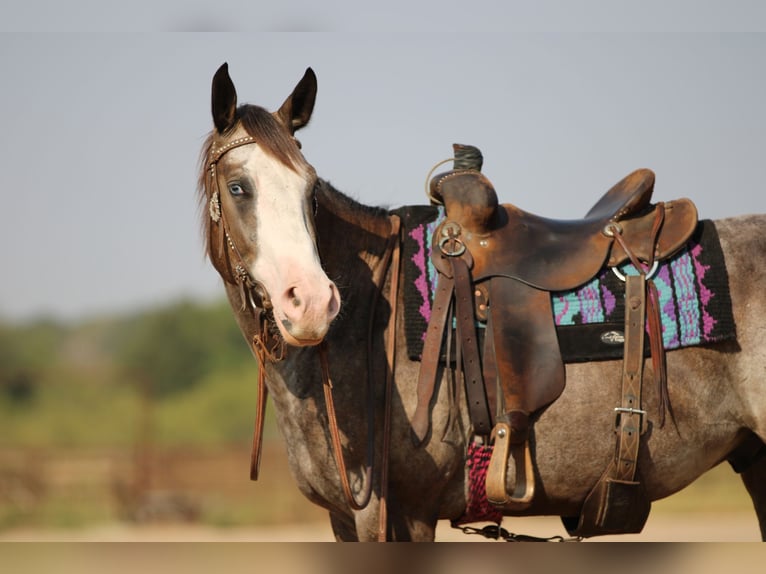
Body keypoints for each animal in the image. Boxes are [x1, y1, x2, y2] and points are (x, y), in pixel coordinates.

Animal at [198, 64, 766, 544]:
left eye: (311, 190)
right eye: (238, 187)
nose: (312, 303)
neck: (364, 326)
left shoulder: (404, 513)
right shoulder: (346, 518)